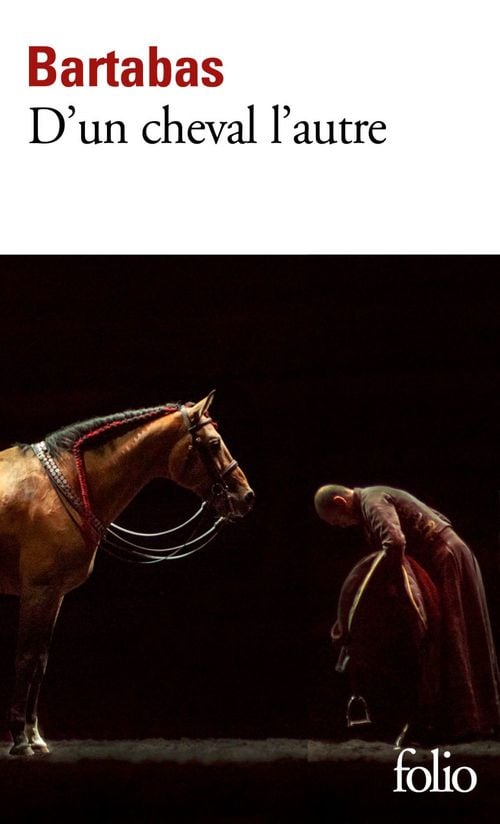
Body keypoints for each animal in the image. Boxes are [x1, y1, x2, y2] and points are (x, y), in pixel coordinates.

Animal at [0, 390, 254, 756]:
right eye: (214, 442)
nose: (246, 496)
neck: (63, 483)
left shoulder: (54, 595)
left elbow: (40, 662)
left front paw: (35, 736)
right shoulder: (39, 591)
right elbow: (26, 658)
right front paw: (21, 740)